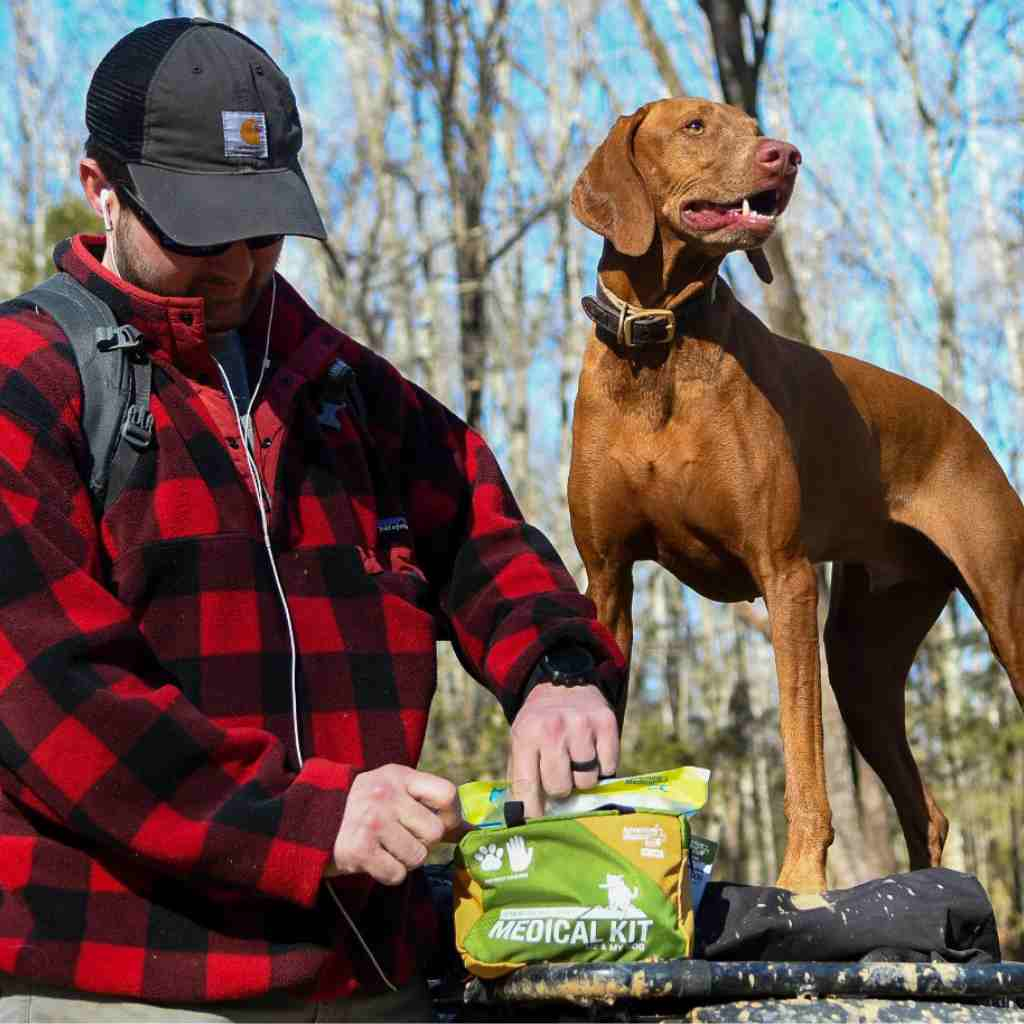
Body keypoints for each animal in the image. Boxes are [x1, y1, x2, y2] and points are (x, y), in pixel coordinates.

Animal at [569, 99, 1024, 892]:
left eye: (753, 127)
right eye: (695, 125)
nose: (785, 155)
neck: (661, 346)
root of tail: (961, 422)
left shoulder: (785, 579)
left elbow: (801, 756)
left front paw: (803, 884)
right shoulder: (608, 581)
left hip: (1004, 606)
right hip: (863, 658)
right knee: (927, 810)